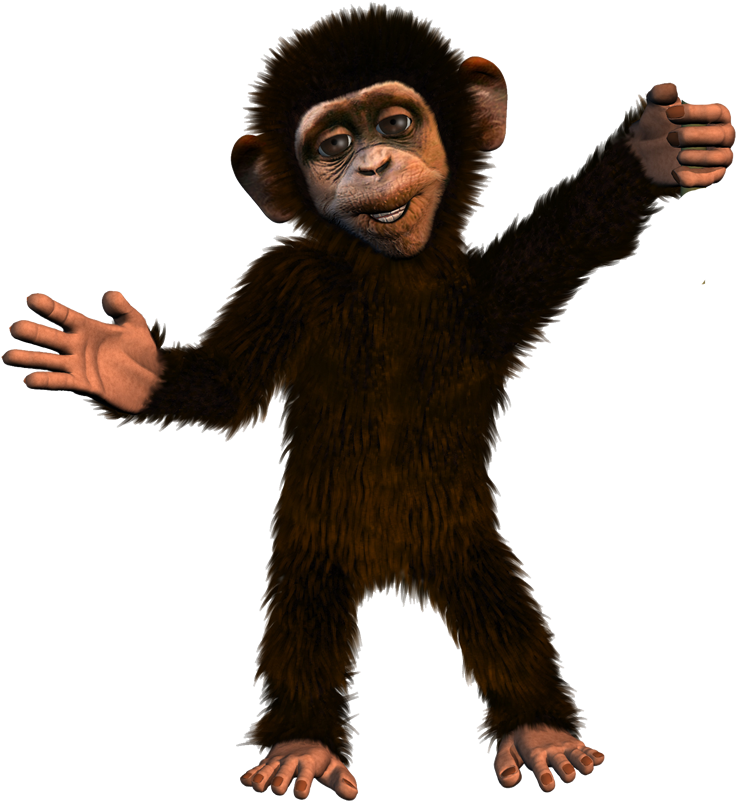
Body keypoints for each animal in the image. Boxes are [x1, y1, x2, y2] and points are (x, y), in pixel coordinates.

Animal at [3, 4, 733, 798]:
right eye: (334, 144)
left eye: (395, 123)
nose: (374, 164)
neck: (390, 277)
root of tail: (394, 569)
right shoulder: (283, 281)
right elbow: (229, 386)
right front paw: (119, 363)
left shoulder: (487, 296)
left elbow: (569, 239)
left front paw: (656, 148)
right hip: (315, 538)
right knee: (303, 610)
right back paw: (302, 742)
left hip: (463, 541)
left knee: (501, 606)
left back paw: (538, 728)